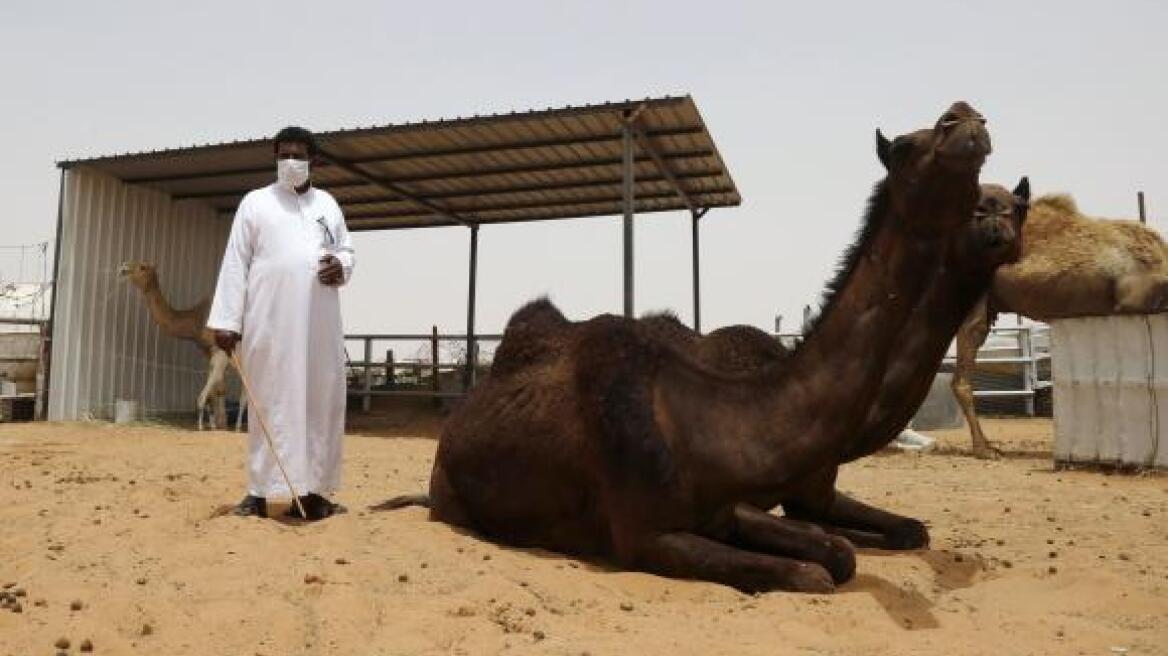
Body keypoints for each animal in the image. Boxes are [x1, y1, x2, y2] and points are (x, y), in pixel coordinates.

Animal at [119, 260, 246, 429]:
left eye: (142, 267)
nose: (123, 268)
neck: (196, 320)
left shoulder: (219, 349)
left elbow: (217, 385)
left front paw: (216, 424)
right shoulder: (207, 349)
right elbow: (219, 388)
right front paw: (217, 424)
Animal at [376, 103, 995, 592]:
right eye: (907, 146)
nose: (965, 117)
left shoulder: (727, 509)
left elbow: (837, 553)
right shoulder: (646, 536)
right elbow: (815, 571)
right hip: (455, 500)